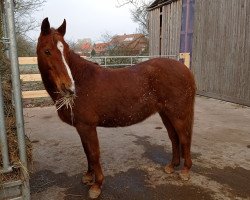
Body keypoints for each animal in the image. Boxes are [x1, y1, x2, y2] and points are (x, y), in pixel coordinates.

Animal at [36, 18, 195, 198]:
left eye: (66, 50)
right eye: (47, 51)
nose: (69, 87)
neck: (82, 81)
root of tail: (185, 70)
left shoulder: (87, 127)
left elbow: (93, 153)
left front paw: (96, 185)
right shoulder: (81, 127)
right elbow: (86, 151)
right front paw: (88, 177)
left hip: (178, 114)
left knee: (184, 138)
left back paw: (185, 171)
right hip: (166, 113)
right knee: (174, 137)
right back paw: (172, 166)